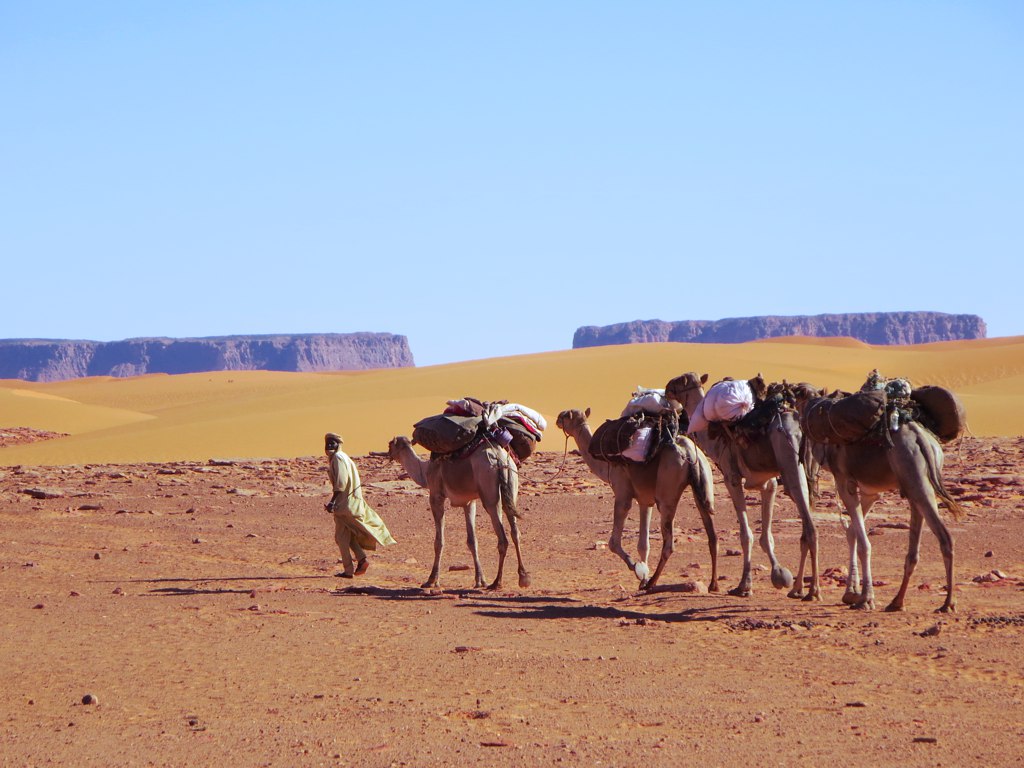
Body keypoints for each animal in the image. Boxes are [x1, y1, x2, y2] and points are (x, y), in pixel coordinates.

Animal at [386, 435, 529, 590]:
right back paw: (523, 577)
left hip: (489, 490)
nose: (388, 454)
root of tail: (500, 458)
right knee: (515, 532)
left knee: (502, 537)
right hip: (511, 485)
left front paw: (432, 580)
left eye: (390, 444)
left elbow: (439, 541)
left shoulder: (436, 496)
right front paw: (480, 580)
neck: (425, 471)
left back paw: (497, 582)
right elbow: (472, 541)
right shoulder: (469, 502)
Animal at [554, 408, 718, 591]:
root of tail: (688, 451)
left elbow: (614, 543)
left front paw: (639, 571)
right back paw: (713, 584)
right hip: (704, 481)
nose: (557, 419)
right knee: (712, 534)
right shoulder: (645, 500)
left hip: (667, 488)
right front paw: (643, 576)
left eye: (566, 416)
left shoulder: (622, 493)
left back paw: (652, 583)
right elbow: (643, 545)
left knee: (669, 543)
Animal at [664, 373, 821, 601]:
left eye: (679, 382)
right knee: (807, 526)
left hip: (788, 458)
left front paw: (744, 586)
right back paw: (799, 588)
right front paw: (779, 574)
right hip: (800, 466)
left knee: (808, 524)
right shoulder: (768, 483)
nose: (667, 389)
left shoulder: (732, 478)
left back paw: (813, 591)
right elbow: (766, 536)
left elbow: (746, 535)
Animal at [793, 387, 963, 612]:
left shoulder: (844, 480)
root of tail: (922, 439)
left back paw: (948, 603)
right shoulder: (870, 492)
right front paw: (851, 593)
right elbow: (853, 532)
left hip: (914, 476)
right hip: (918, 483)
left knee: (944, 536)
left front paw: (865, 598)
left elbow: (863, 543)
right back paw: (897, 601)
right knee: (915, 548)